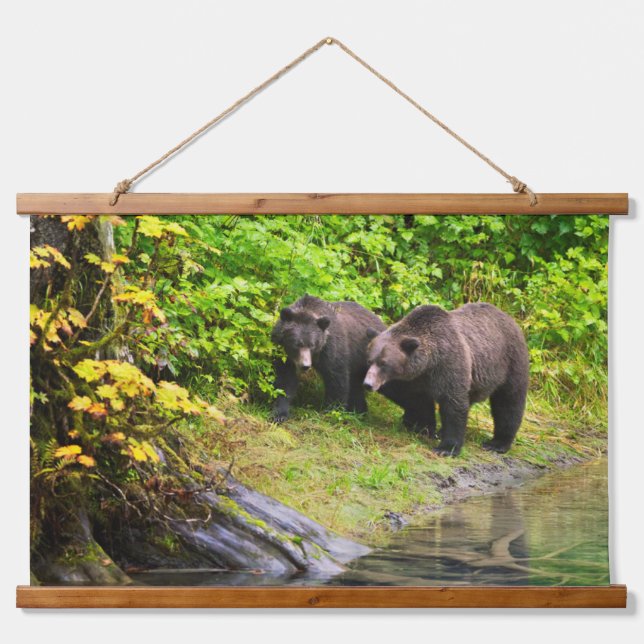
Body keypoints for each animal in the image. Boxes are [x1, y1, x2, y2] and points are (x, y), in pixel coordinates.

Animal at [363, 302, 529, 456]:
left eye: (384, 363)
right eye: (370, 360)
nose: (368, 384)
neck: (428, 363)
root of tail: (509, 318)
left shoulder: (449, 365)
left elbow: (453, 405)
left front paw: (447, 448)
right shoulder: (415, 379)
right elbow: (416, 400)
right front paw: (422, 427)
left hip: (510, 362)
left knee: (509, 402)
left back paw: (497, 443)